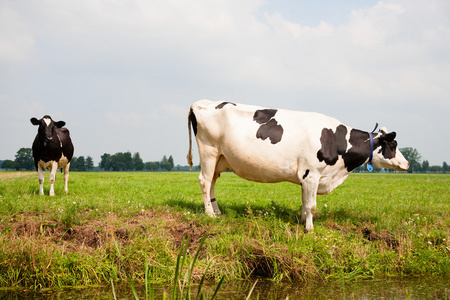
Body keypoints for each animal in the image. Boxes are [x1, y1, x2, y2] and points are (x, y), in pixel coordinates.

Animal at [188, 99, 410, 231]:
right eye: (393, 144)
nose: (407, 163)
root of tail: (203, 103)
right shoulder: (312, 173)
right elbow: (311, 205)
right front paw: (309, 229)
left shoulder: (306, 176)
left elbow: (304, 202)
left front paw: (303, 221)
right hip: (209, 151)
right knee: (204, 181)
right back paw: (210, 214)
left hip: (219, 158)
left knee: (212, 181)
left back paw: (217, 211)